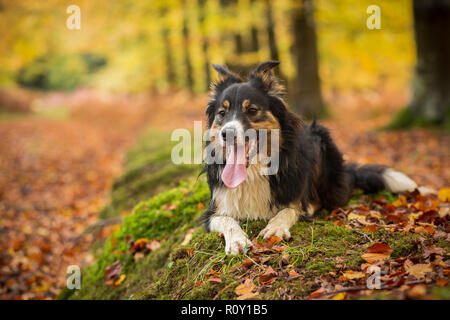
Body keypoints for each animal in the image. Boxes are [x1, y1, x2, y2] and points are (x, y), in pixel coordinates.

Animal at [202, 61, 416, 254]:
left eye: (252, 110)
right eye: (222, 113)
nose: (226, 133)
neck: (253, 172)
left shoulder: (297, 198)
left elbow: (290, 210)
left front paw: (276, 227)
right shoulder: (213, 211)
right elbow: (226, 219)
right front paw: (237, 240)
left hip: (320, 140)